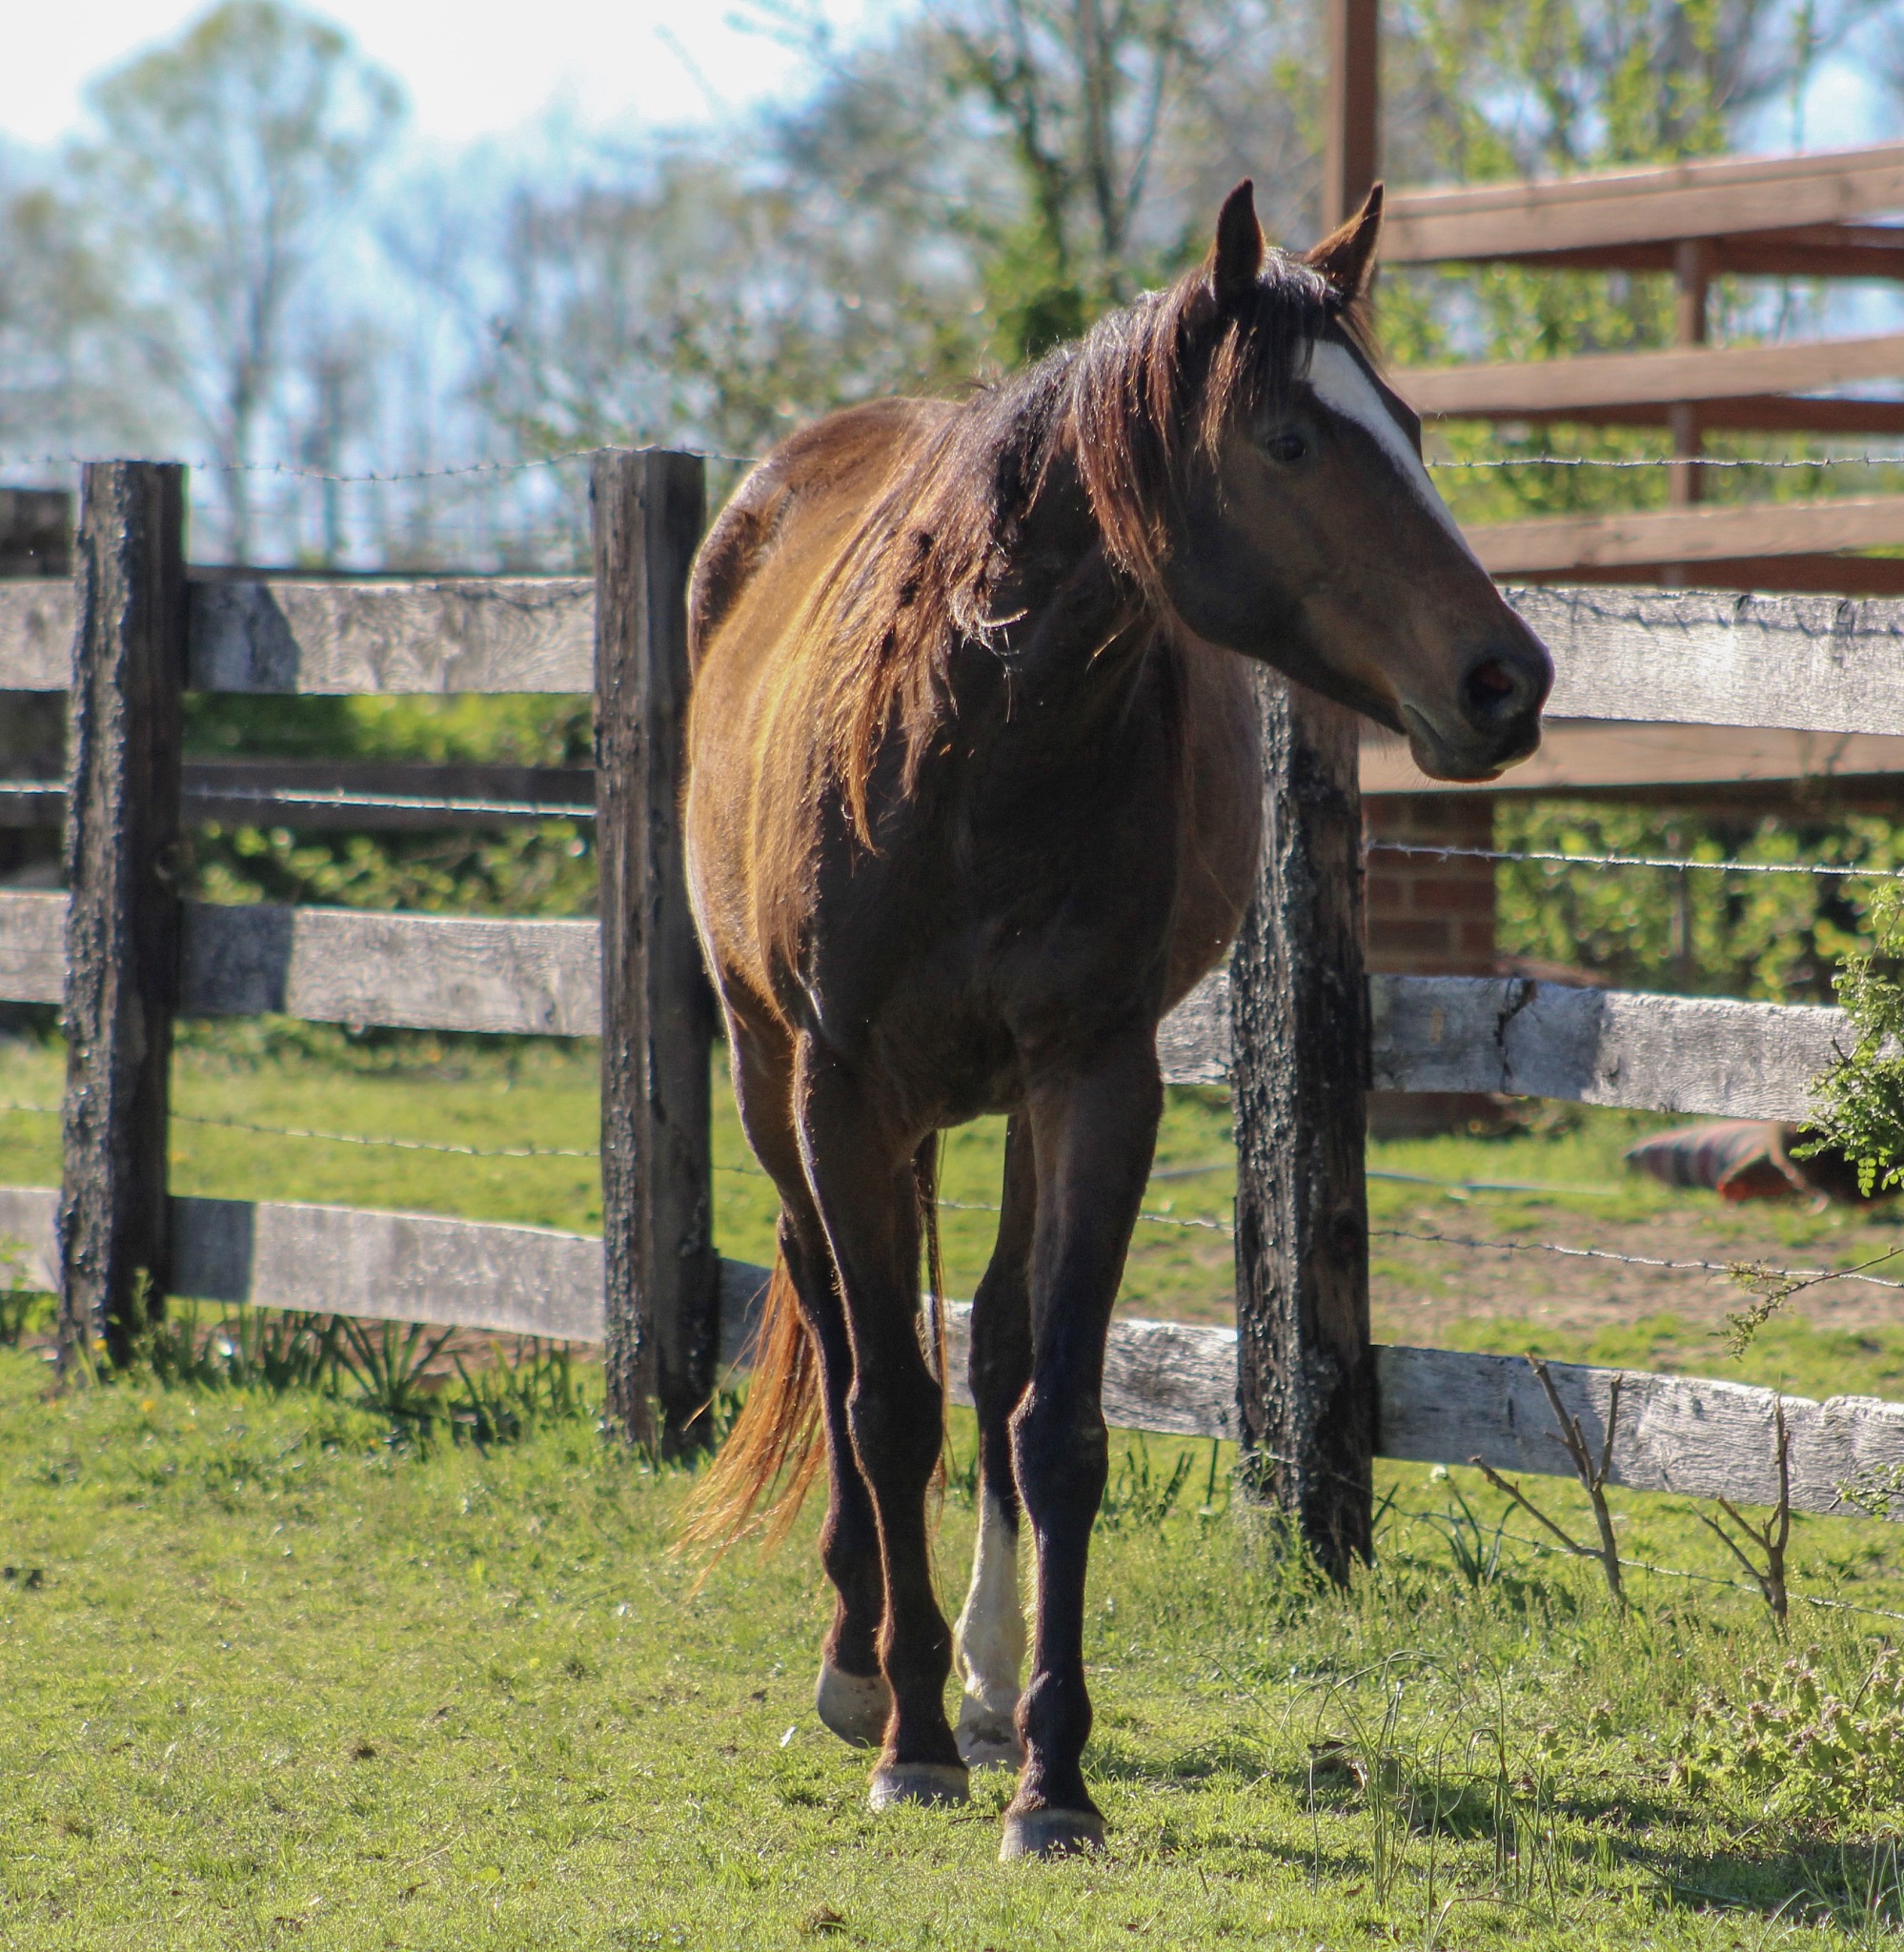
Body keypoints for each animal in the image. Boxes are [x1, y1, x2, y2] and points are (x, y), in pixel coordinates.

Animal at [679, 179, 1551, 1861]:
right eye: (1289, 440)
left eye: (1408, 424)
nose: (1507, 678)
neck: (966, 743)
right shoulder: (839, 1086)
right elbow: (885, 1404)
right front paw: (907, 1744)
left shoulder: (1095, 1079)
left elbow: (1054, 1423)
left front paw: (1046, 1772)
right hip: (769, 1081)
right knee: (831, 1316)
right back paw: (862, 1662)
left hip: (1006, 1099)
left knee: (998, 1349)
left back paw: (976, 1671)